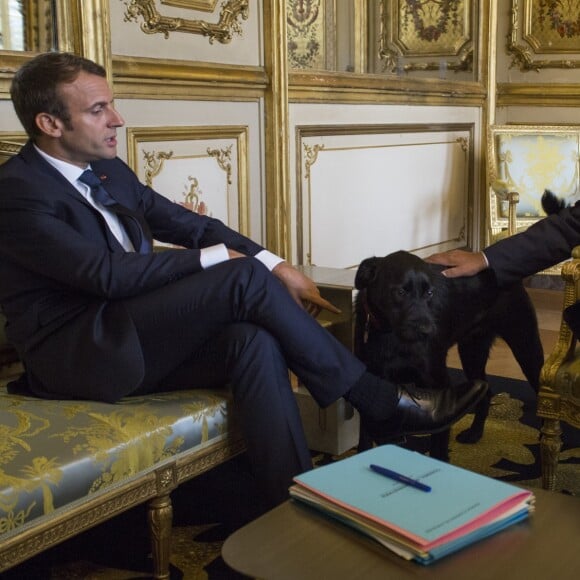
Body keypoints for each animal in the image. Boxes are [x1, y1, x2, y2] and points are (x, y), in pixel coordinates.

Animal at [354, 251, 544, 460]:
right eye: (401, 292)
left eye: (429, 293)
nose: (428, 331)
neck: (391, 334)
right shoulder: (372, 383)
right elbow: (364, 440)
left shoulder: (440, 386)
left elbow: (438, 444)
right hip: (472, 352)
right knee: (486, 392)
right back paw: (475, 433)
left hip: (526, 348)